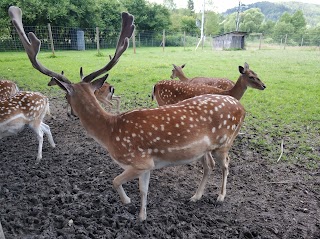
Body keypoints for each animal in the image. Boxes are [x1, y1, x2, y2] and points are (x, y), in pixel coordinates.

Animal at [9, 5, 245, 221]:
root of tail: (241, 108)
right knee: (210, 166)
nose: (70, 115)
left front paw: (128, 203)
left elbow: (114, 181)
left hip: (225, 142)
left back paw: (220, 197)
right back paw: (195, 196)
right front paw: (142, 215)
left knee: (226, 165)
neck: (109, 133)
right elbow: (144, 190)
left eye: (67, 97)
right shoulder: (147, 165)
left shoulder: (139, 162)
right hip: (205, 149)